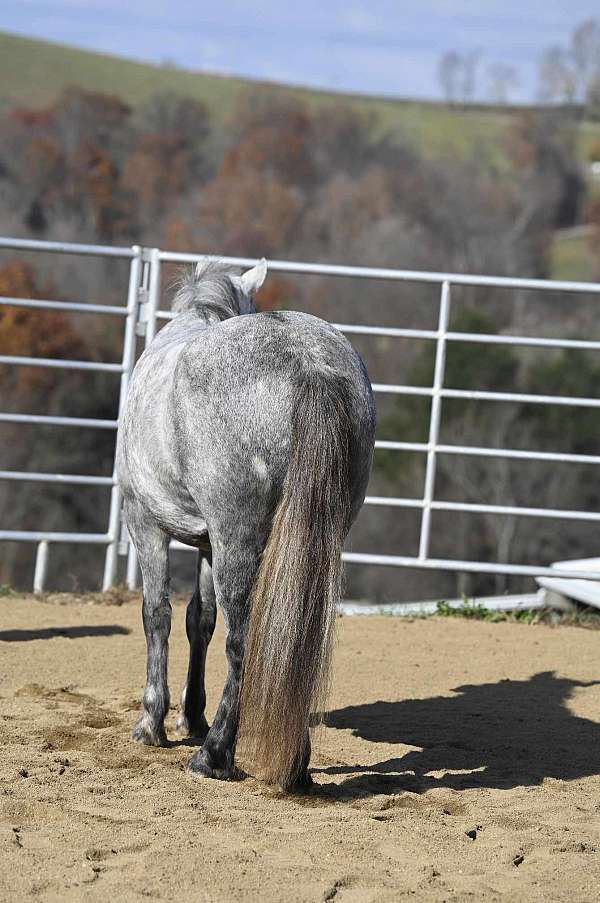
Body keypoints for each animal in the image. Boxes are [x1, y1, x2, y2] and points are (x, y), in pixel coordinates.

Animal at [117, 260, 376, 792]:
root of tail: (308, 362)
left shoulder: (144, 523)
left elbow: (157, 616)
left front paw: (152, 722)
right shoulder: (207, 543)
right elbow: (199, 620)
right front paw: (190, 717)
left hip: (237, 539)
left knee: (244, 641)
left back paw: (214, 756)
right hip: (311, 541)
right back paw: (292, 763)